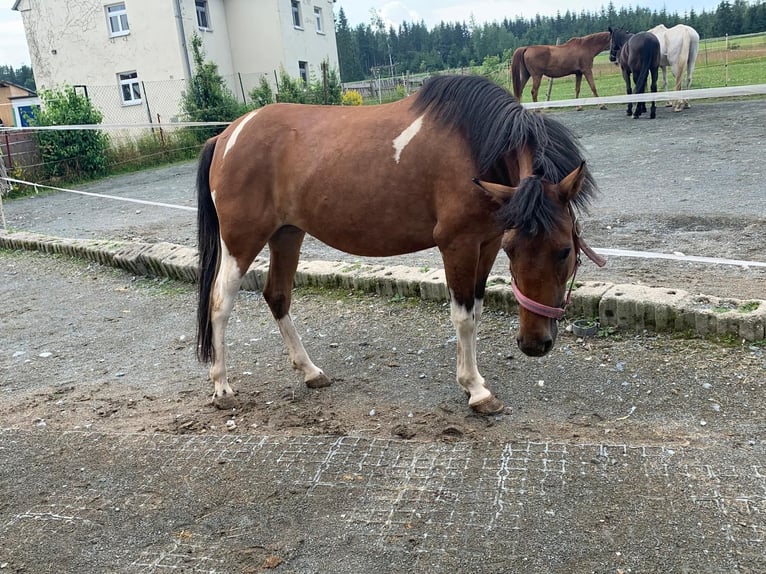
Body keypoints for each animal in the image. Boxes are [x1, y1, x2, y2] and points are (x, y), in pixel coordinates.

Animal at [196, 77, 608, 418]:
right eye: (515, 251)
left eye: (564, 250)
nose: (533, 344)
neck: (474, 144)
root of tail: (226, 136)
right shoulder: (458, 244)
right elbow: (464, 317)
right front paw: (475, 390)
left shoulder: (486, 242)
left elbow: (476, 309)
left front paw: (475, 382)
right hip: (242, 242)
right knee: (220, 303)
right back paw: (222, 386)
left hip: (287, 235)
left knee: (278, 296)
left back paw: (310, 372)